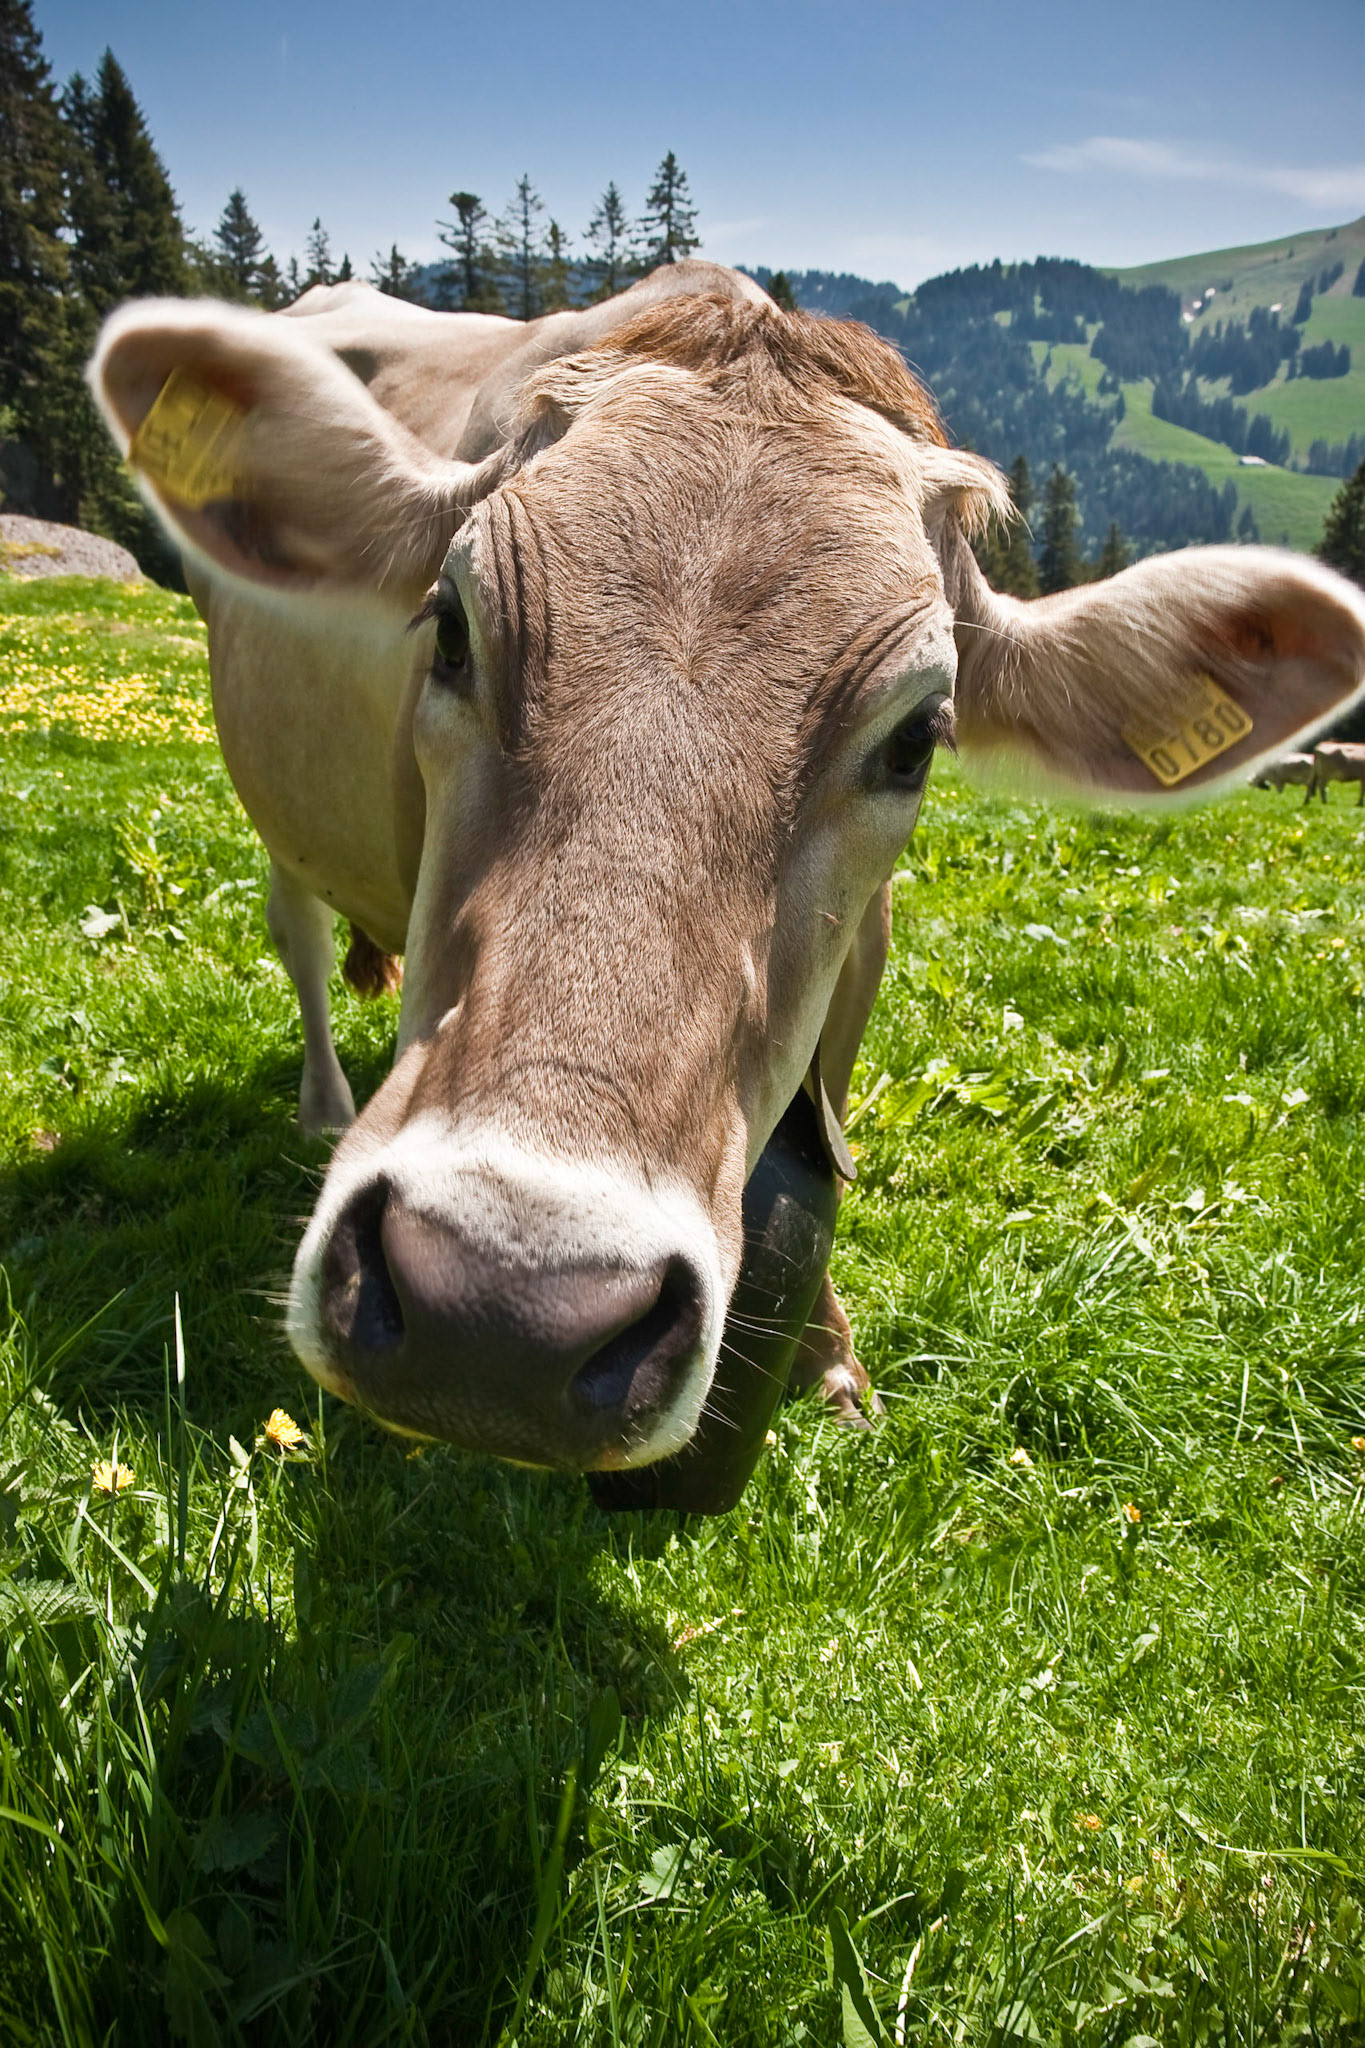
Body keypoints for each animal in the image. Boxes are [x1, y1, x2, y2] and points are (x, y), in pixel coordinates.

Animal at [90, 264, 1365, 1508]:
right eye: (449, 628)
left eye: (918, 739)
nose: (502, 1310)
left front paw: (832, 1359)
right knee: (299, 936)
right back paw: (323, 1102)